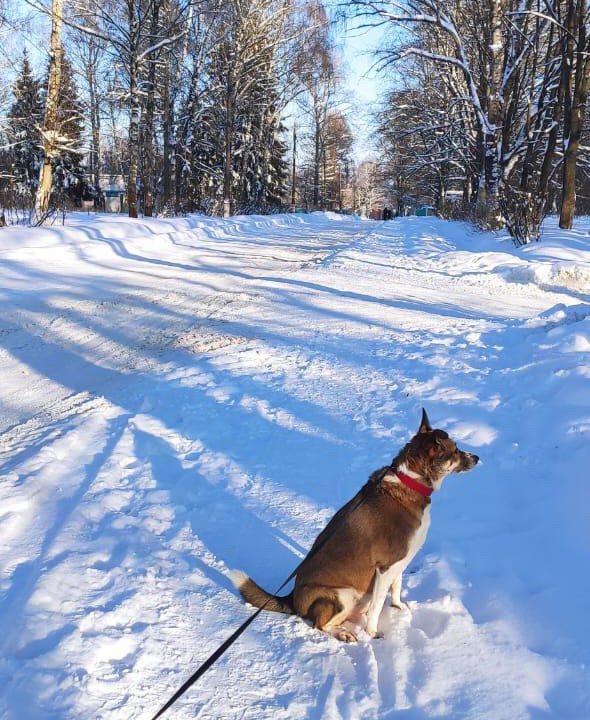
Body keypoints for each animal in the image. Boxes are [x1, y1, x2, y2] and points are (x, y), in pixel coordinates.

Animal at [232, 410, 480, 640]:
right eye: (455, 450)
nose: (477, 457)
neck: (410, 480)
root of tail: (292, 599)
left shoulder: (400, 561)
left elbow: (397, 587)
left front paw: (398, 608)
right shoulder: (385, 566)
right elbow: (378, 604)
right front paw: (372, 632)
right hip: (342, 596)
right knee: (320, 624)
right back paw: (344, 634)